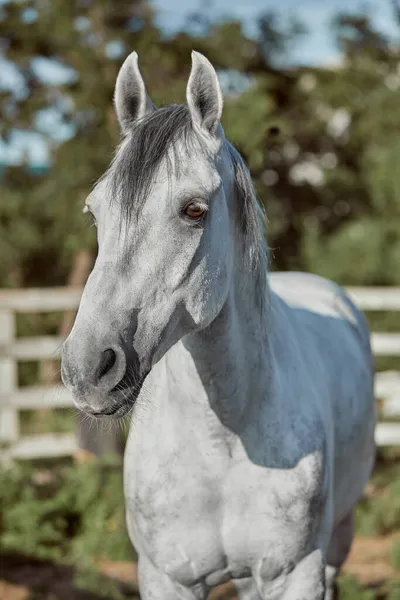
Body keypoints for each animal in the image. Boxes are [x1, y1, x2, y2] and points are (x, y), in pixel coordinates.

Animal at [61, 50, 376, 600]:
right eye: (95, 213)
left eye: (194, 210)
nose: (88, 368)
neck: (222, 440)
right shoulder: (167, 578)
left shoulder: (298, 573)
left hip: (339, 540)